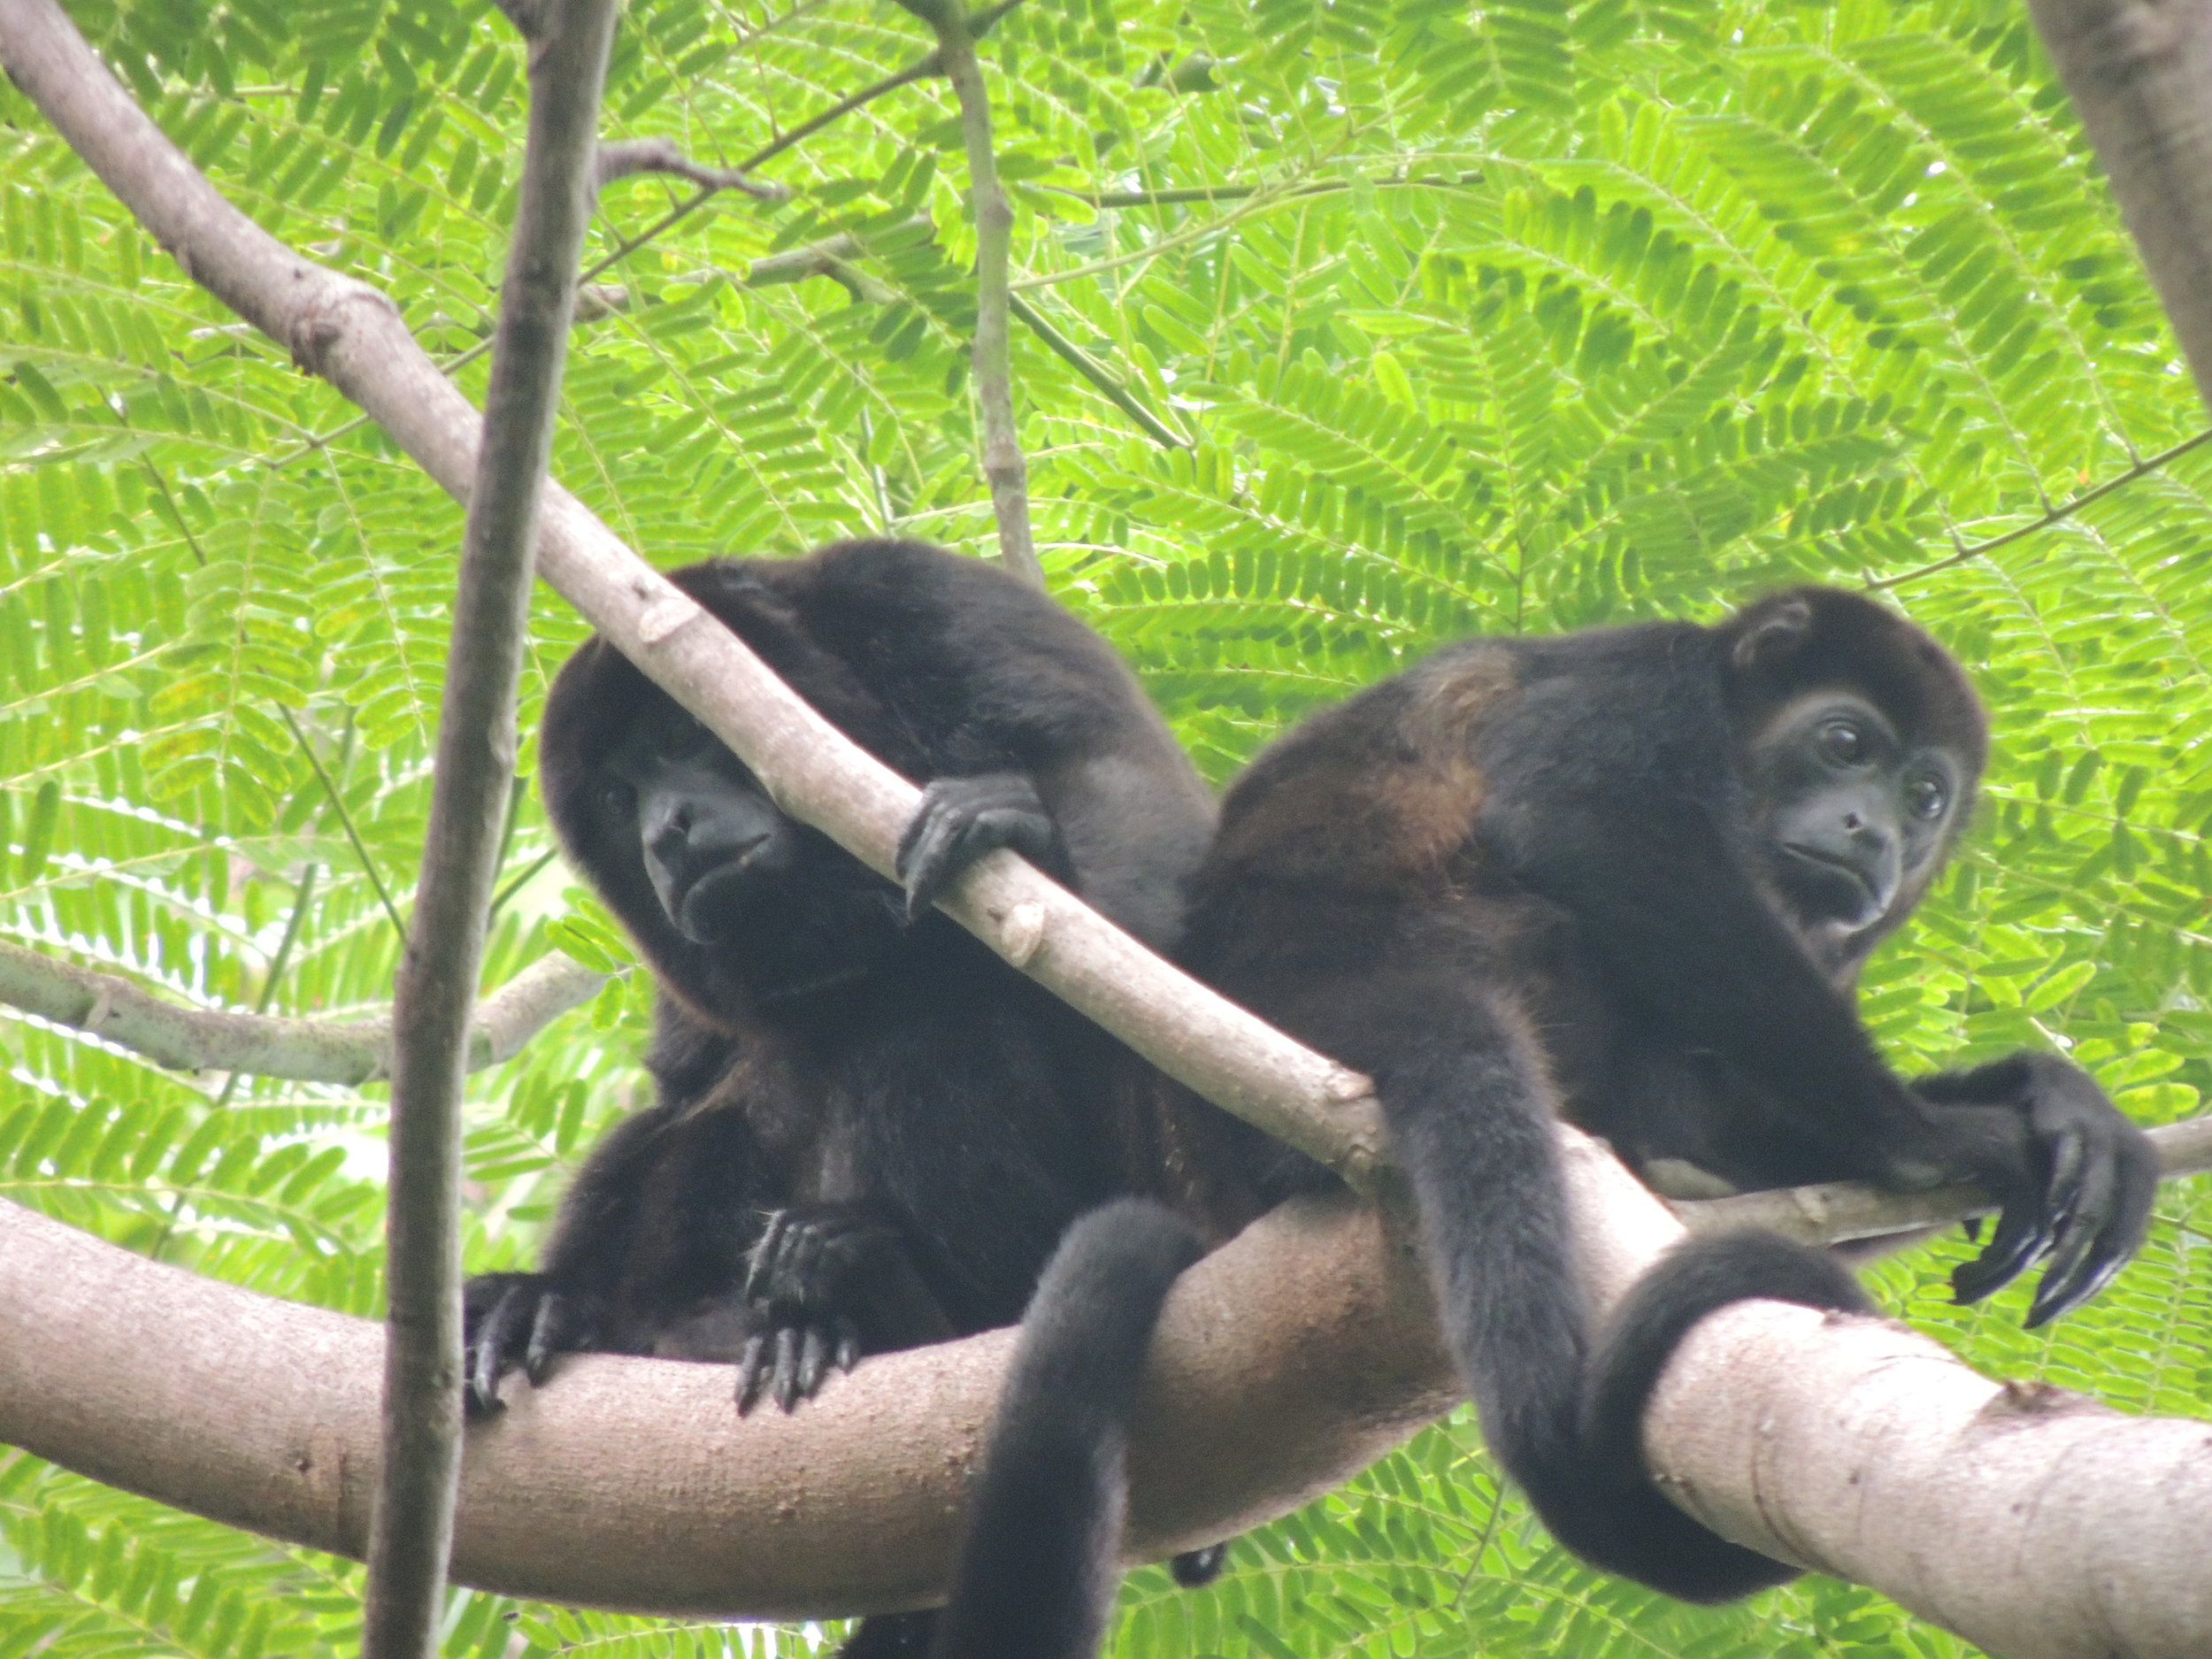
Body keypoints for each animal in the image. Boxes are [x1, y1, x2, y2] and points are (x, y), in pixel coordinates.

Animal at [459, 538, 1218, 1659]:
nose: (668, 831)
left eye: (685, 736)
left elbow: (1142, 853)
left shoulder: (928, 600)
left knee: (927, 1006)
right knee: (706, 1108)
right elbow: (683, 1074)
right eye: (616, 798)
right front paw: (550, 1295)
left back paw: (881, 1294)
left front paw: (1017, 832)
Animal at [927, 586, 2159, 1657]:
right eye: (1845, 745)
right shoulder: (1640, 688)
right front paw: (1939, 1136)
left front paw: (2053, 1105)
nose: (1875, 835)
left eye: (1926, 797)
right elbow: (1596, 827)